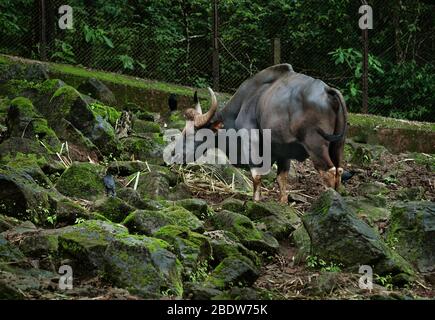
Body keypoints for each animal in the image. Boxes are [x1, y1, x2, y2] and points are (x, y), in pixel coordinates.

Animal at [180, 64, 348, 204]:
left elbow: (256, 175)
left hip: (316, 147)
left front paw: (255, 202)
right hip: (338, 146)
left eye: (190, 134)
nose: (176, 153)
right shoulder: (283, 152)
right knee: (339, 171)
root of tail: (328, 91)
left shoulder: (251, 142)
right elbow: (281, 179)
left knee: (329, 173)